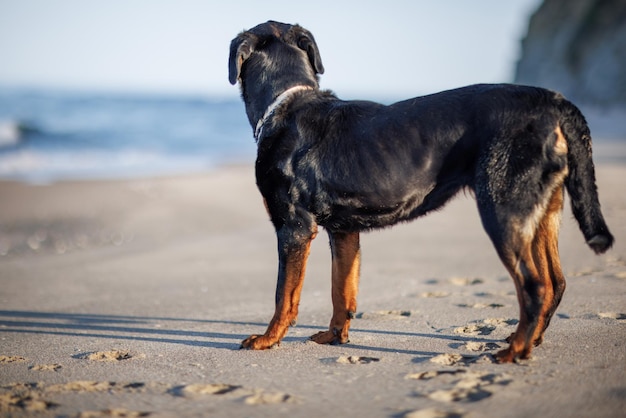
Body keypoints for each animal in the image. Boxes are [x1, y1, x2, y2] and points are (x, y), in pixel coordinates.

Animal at [227, 20, 612, 362]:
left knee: (535, 286)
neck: (286, 107)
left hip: (503, 210)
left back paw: (514, 351)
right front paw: (335, 336)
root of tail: (553, 101)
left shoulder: (292, 227)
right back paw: (531, 340)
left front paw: (268, 339)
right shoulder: (344, 231)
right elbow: (342, 290)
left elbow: (284, 294)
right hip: (543, 211)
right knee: (556, 282)